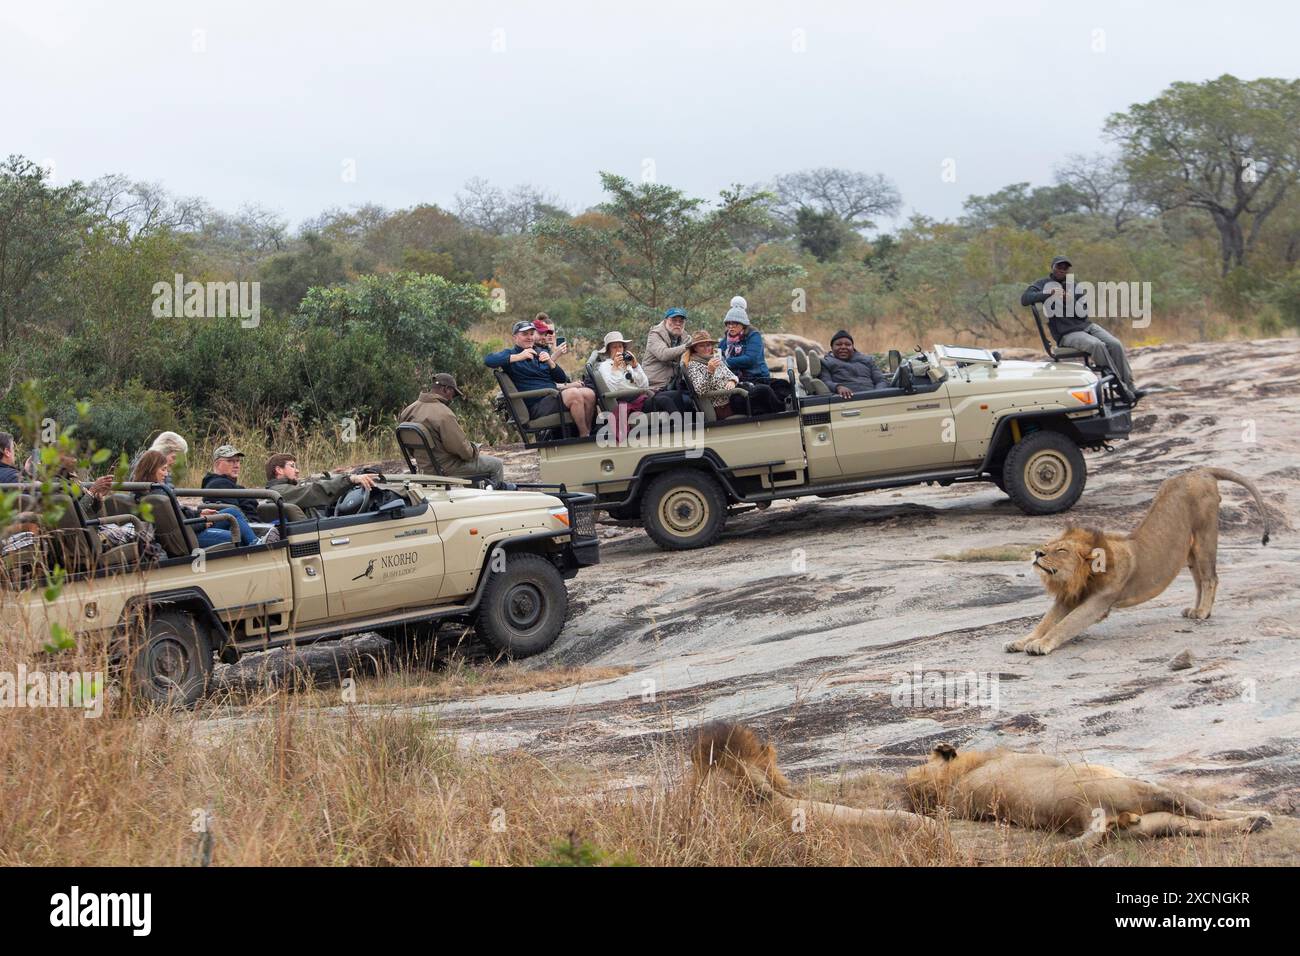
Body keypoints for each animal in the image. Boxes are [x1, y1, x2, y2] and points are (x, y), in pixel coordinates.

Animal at [904, 743, 1272, 846]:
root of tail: (1089, 813)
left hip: (1147, 824)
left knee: (1189, 826)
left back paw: (1253, 824)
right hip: (1138, 789)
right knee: (1197, 807)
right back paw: (1258, 818)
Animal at [1006, 467, 1272, 656]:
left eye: (1061, 549)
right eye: (1048, 544)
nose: (1037, 553)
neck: (1082, 577)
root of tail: (1200, 471)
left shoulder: (1098, 602)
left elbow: (1064, 625)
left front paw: (1040, 645)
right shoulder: (1068, 598)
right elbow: (1046, 622)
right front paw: (1021, 641)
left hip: (1205, 537)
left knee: (1210, 578)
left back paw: (1203, 612)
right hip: (1190, 550)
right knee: (1198, 580)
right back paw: (1195, 611)